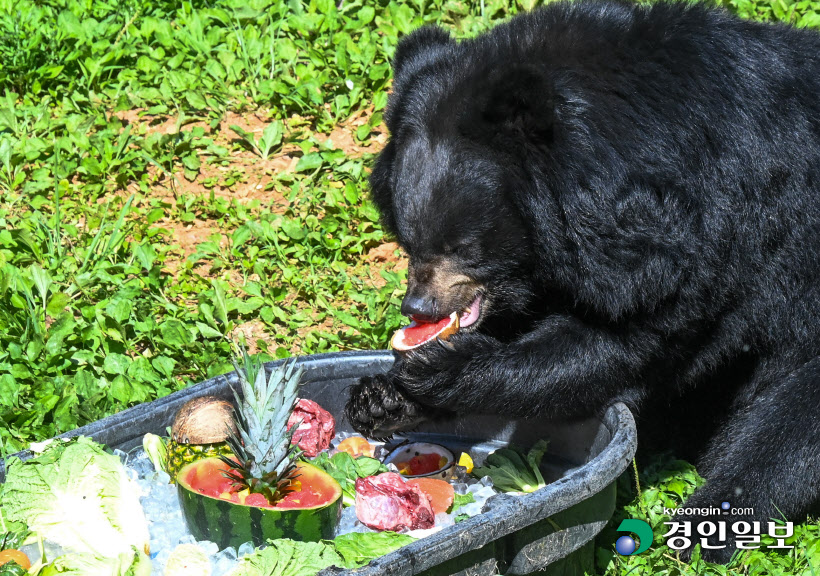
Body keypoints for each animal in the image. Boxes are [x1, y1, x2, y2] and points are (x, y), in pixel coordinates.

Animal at [344, 0, 820, 560]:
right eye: (407, 238)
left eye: (462, 246)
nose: (418, 308)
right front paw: (381, 398)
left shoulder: (707, 242)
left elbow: (622, 338)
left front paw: (441, 367)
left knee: (790, 425)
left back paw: (711, 524)